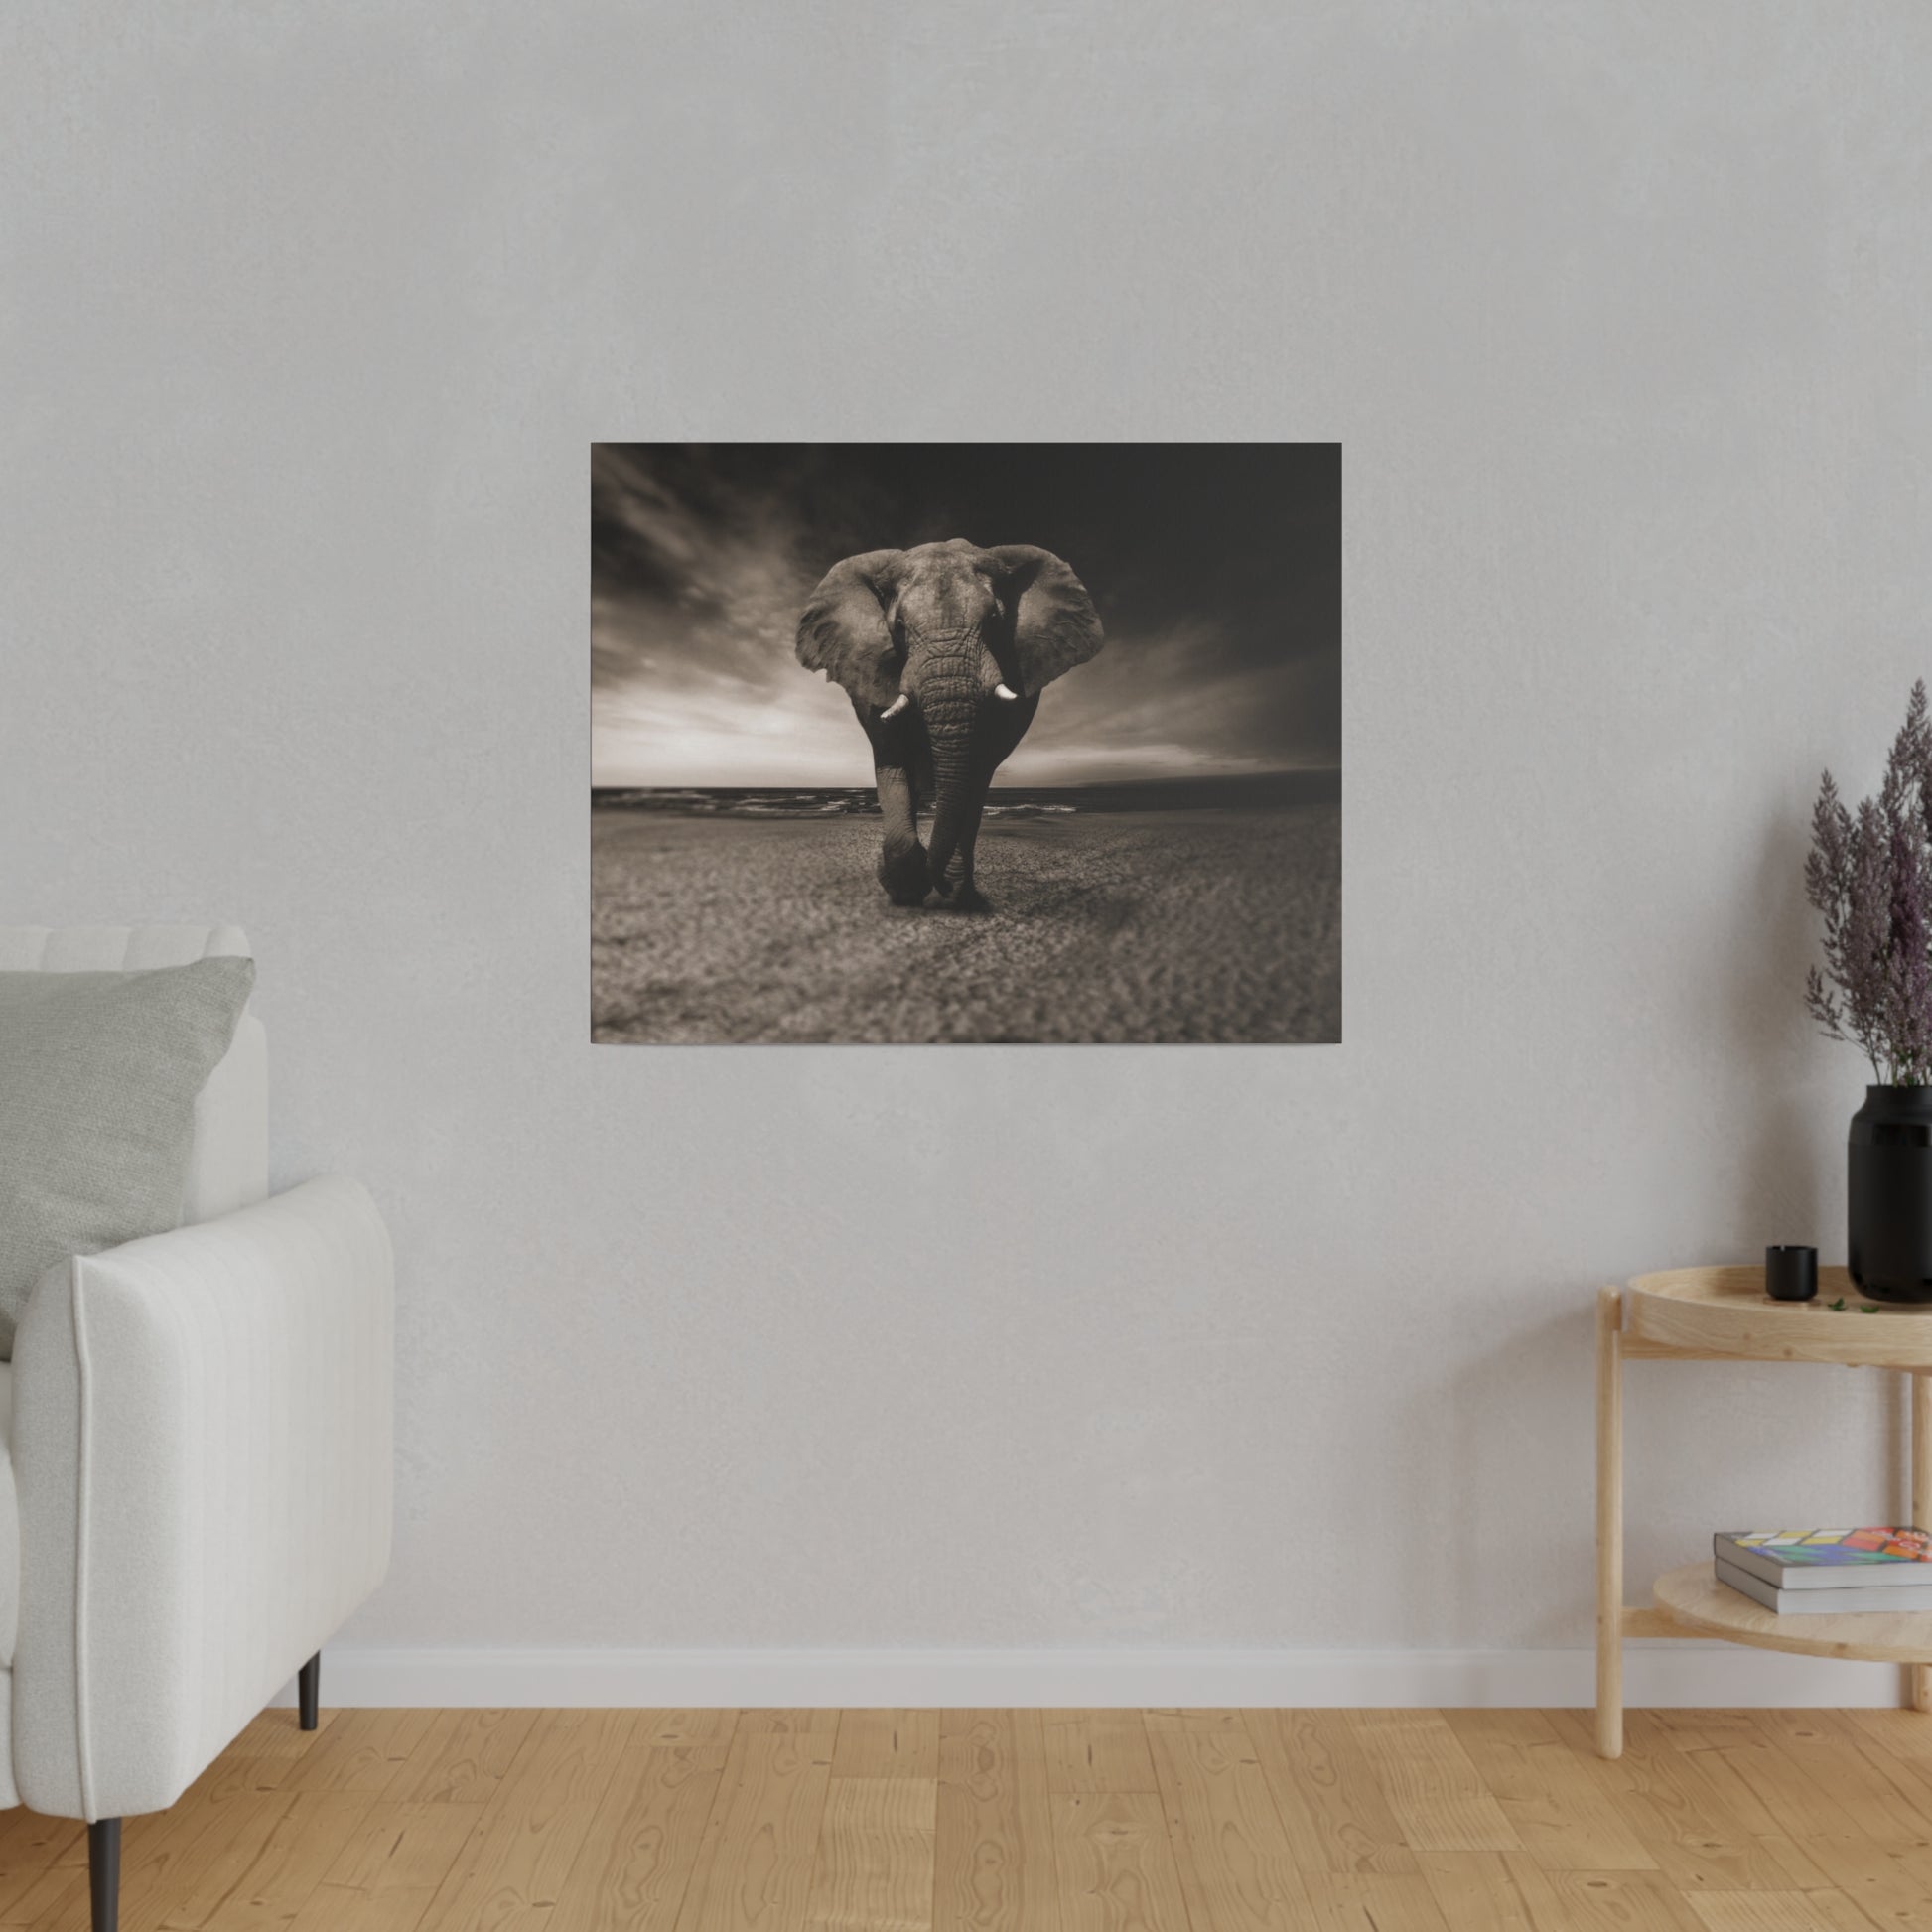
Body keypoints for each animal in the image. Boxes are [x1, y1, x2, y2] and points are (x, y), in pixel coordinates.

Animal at [795, 540, 1105, 907]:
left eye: (994, 620)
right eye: (899, 626)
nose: (938, 882)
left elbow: (976, 772)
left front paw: (950, 891)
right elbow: (892, 761)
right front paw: (906, 887)